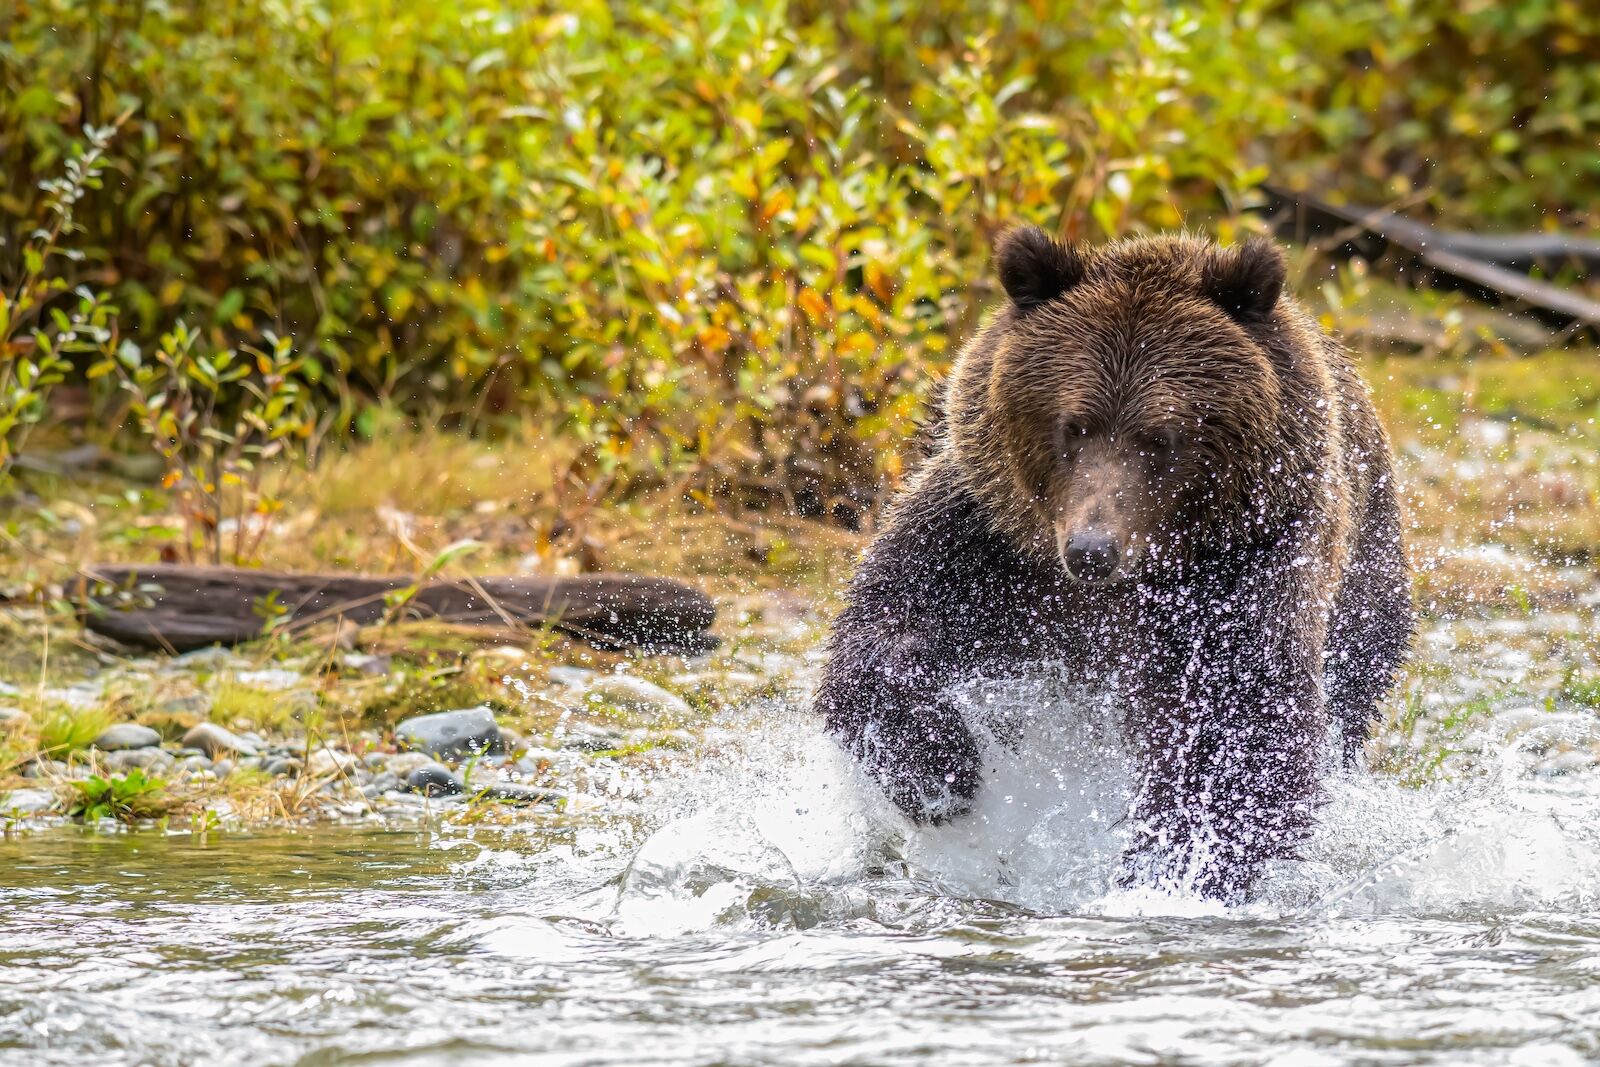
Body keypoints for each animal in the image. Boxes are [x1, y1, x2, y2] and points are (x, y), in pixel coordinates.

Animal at [814, 227, 1413, 902]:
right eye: (1073, 426)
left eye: (1161, 437)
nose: (1092, 550)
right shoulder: (989, 540)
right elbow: (884, 629)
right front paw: (940, 770)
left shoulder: (1242, 574)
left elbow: (1235, 730)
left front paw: (1171, 871)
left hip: (1364, 588)